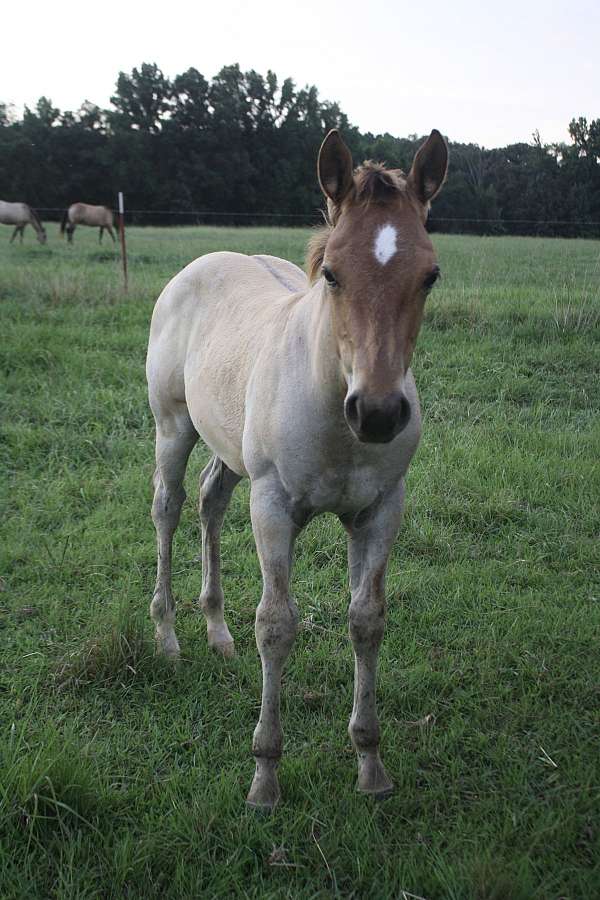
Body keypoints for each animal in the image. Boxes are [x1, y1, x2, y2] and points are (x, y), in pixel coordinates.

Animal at [146, 128, 448, 810]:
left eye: (430, 275)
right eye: (331, 272)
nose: (379, 413)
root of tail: (200, 264)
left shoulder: (381, 509)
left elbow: (366, 620)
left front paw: (370, 763)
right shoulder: (274, 504)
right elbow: (277, 625)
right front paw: (265, 776)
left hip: (231, 449)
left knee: (210, 499)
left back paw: (217, 633)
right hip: (173, 427)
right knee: (169, 507)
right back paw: (170, 637)